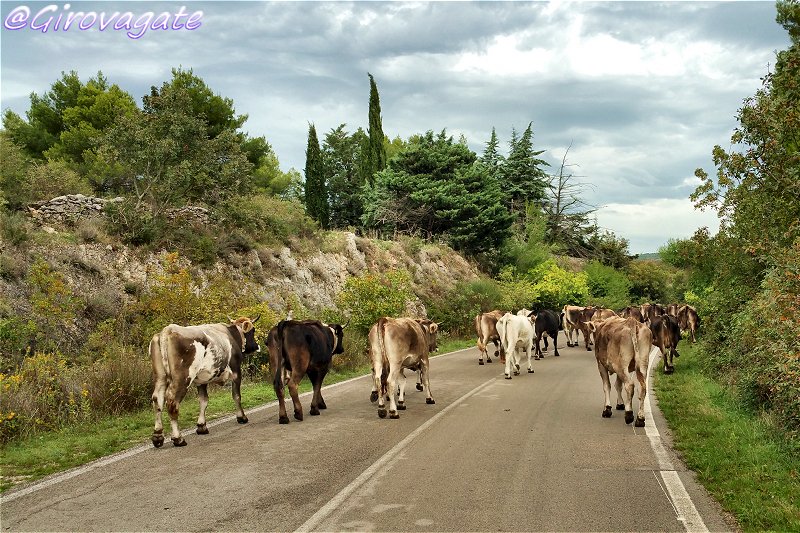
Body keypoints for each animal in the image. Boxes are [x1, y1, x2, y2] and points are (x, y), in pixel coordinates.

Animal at [150, 314, 260, 446]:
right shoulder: (236, 373)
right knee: (172, 402)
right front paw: (242, 417)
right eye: (253, 330)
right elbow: (236, 396)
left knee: (157, 399)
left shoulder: (201, 380)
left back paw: (158, 436)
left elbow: (203, 400)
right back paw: (178, 438)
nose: (256, 346)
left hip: (160, 377)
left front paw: (201, 426)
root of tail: (168, 330)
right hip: (182, 378)